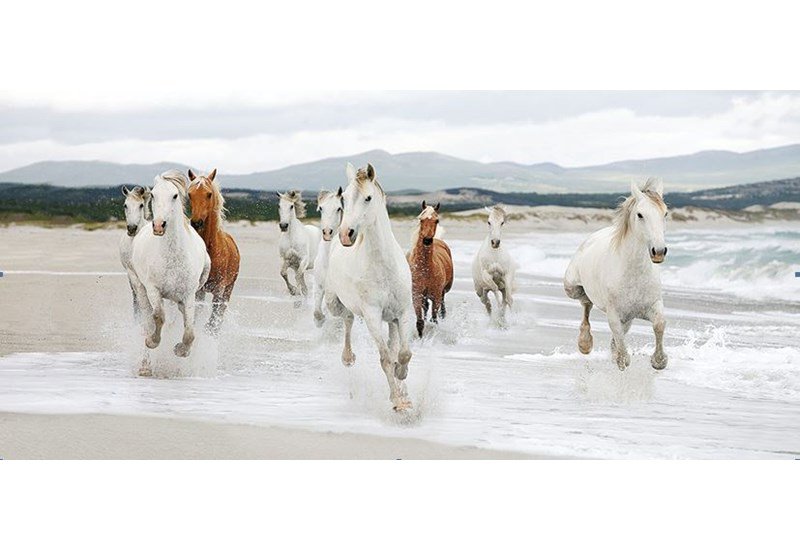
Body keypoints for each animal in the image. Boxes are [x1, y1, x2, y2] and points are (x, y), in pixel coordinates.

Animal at [130, 170, 210, 372]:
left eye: (175, 196)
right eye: (153, 195)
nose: (159, 225)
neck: (173, 255)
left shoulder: (189, 295)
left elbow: (189, 331)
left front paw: (181, 350)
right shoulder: (153, 290)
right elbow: (158, 318)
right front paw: (152, 341)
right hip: (140, 288)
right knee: (147, 321)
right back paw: (145, 365)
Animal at [187, 168, 241, 334]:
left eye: (209, 194)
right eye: (189, 194)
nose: (196, 222)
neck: (210, 249)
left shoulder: (219, 290)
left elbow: (213, 322)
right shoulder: (198, 290)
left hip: (228, 290)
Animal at [325, 163, 414, 411]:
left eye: (368, 197)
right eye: (344, 199)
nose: (346, 234)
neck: (384, 266)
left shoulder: (403, 312)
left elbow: (403, 353)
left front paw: (402, 378)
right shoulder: (373, 315)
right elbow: (385, 359)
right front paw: (397, 401)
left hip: (392, 319)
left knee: (394, 344)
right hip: (336, 303)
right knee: (347, 319)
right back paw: (348, 357)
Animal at [407, 201, 453, 337]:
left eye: (437, 220)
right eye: (421, 219)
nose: (427, 240)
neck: (425, 269)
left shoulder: (436, 296)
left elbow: (434, 320)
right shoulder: (417, 295)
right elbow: (420, 322)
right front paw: (421, 337)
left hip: (443, 291)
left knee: (441, 305)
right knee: (426, 308)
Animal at [564, 179, 669, 371]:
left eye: (665, 213)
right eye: (640, 215)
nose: (658, 252)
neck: (633, 274)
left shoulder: (653, 305)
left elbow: (659, 325)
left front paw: (658, 361)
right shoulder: (614, 313)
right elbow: (618, 335)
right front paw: (621, 359)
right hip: (572, 288)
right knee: (586, 303)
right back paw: (585, 343)